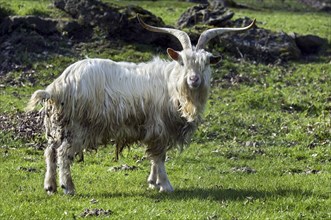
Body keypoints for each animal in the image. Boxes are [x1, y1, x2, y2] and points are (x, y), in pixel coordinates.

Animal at [26, 15, 256, 194]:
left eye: (206, 63)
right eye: (182, 61)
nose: (194, 79)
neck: (172, 85)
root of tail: (59, 85)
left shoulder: (153, 129)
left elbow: (155, 157)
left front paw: (153, 182)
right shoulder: (159, 127)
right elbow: (159, 157)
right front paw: (165, 185)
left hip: (58, 123)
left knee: (50, 151)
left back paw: (50, 186)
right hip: (77, 126)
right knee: (63, 153)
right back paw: (68, 187)